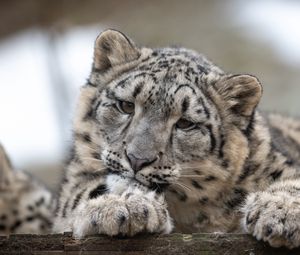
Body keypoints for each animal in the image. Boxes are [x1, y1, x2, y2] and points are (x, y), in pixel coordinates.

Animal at [53, 28, 300, 248]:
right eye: (126, 105)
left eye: (185, 123)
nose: (137, 159)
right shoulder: (75, 179)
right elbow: (80, 194)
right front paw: (124, 206)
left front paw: (281, 213)